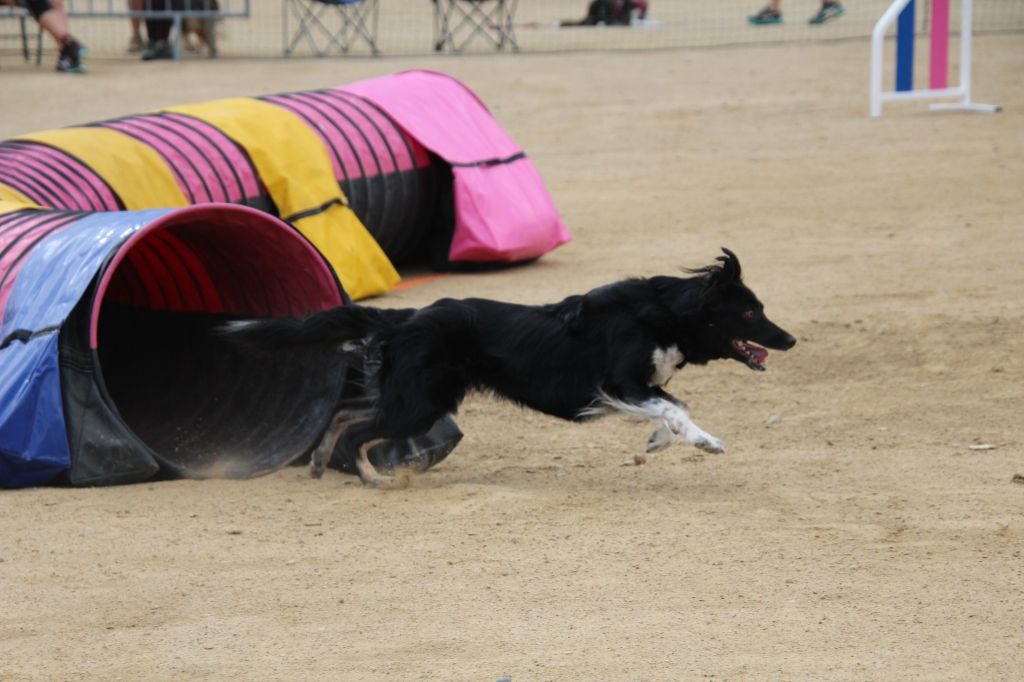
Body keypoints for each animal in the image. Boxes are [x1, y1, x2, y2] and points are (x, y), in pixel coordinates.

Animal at [222, 246, 798, 485]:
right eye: (751, 311)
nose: (790, 339)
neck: (663, 314)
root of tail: (408, 317)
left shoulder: (634, 386)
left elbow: (672, 405)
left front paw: (659, 442)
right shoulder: (620, 382)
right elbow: (675, 406)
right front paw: (705, 442)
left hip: (414, 397)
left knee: (345, 415)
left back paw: (321, 463)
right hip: (418, 404)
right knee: (359, 430)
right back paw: (372, 477)